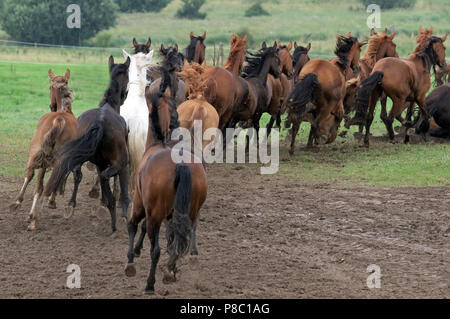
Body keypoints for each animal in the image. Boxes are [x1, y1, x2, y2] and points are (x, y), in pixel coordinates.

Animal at [9, 70, 78, 231]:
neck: (64, 110)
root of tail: (59, 118)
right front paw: (51, 202)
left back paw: (20, 205)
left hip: (35, 153)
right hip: (51, 159)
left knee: (30, 176)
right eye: (50, 87)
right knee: (45, 184)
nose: (51, 105)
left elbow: (38, 185)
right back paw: (33, 217)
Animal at [43, 57, 131, 232]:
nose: (125, 95)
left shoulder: (99, 162)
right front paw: (122, 214)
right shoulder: (121, 164)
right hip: (120, 162)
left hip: (79, 154)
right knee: (105, 177)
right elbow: (123, 190)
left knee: (78, 174)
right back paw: (112, 213)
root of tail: (101, 121)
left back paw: (72, 205)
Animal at [123, 67, 207, 296]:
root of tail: (181, 165)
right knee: (178, 242)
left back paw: (150, 283)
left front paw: (131, 259)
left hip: (155, 215)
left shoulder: (141, 204)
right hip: (188, 212)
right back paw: (170, 270)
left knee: (156, 249)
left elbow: (134, 225)